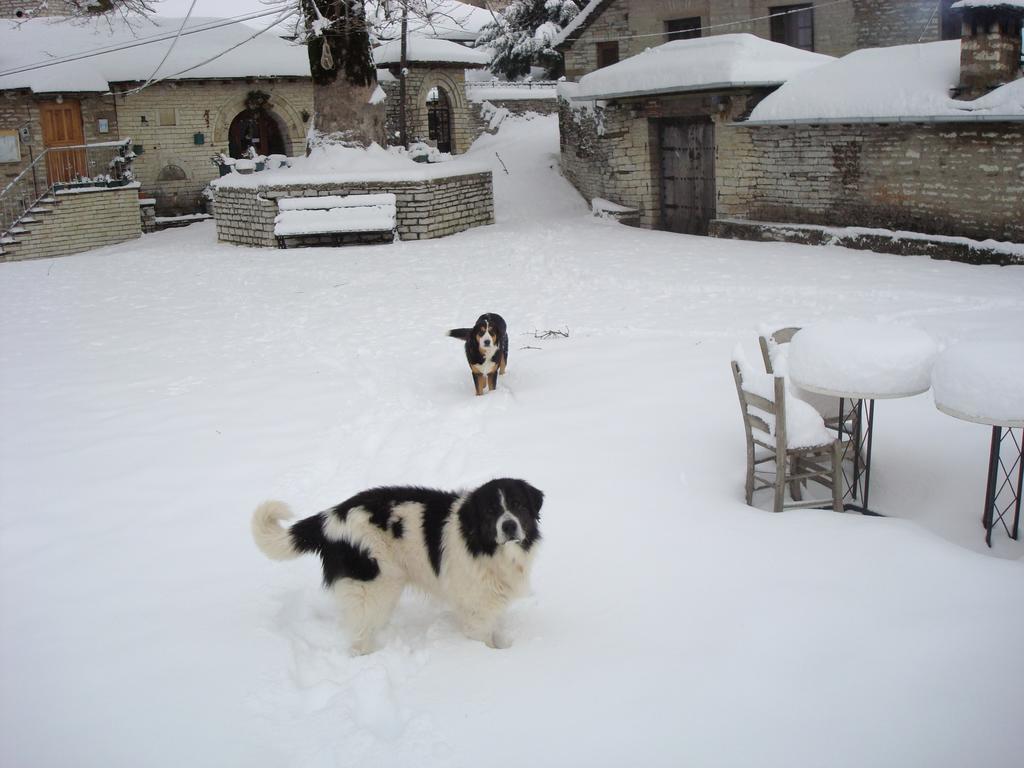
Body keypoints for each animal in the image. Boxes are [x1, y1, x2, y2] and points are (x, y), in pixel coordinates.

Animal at [252, 481, 544, 655]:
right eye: (491, 512)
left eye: (518, 505)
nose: (509, 525)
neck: (483, 545)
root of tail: (331, 516)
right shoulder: (475, 607)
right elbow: (481, 638)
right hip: (373, 586)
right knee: (359, 636)